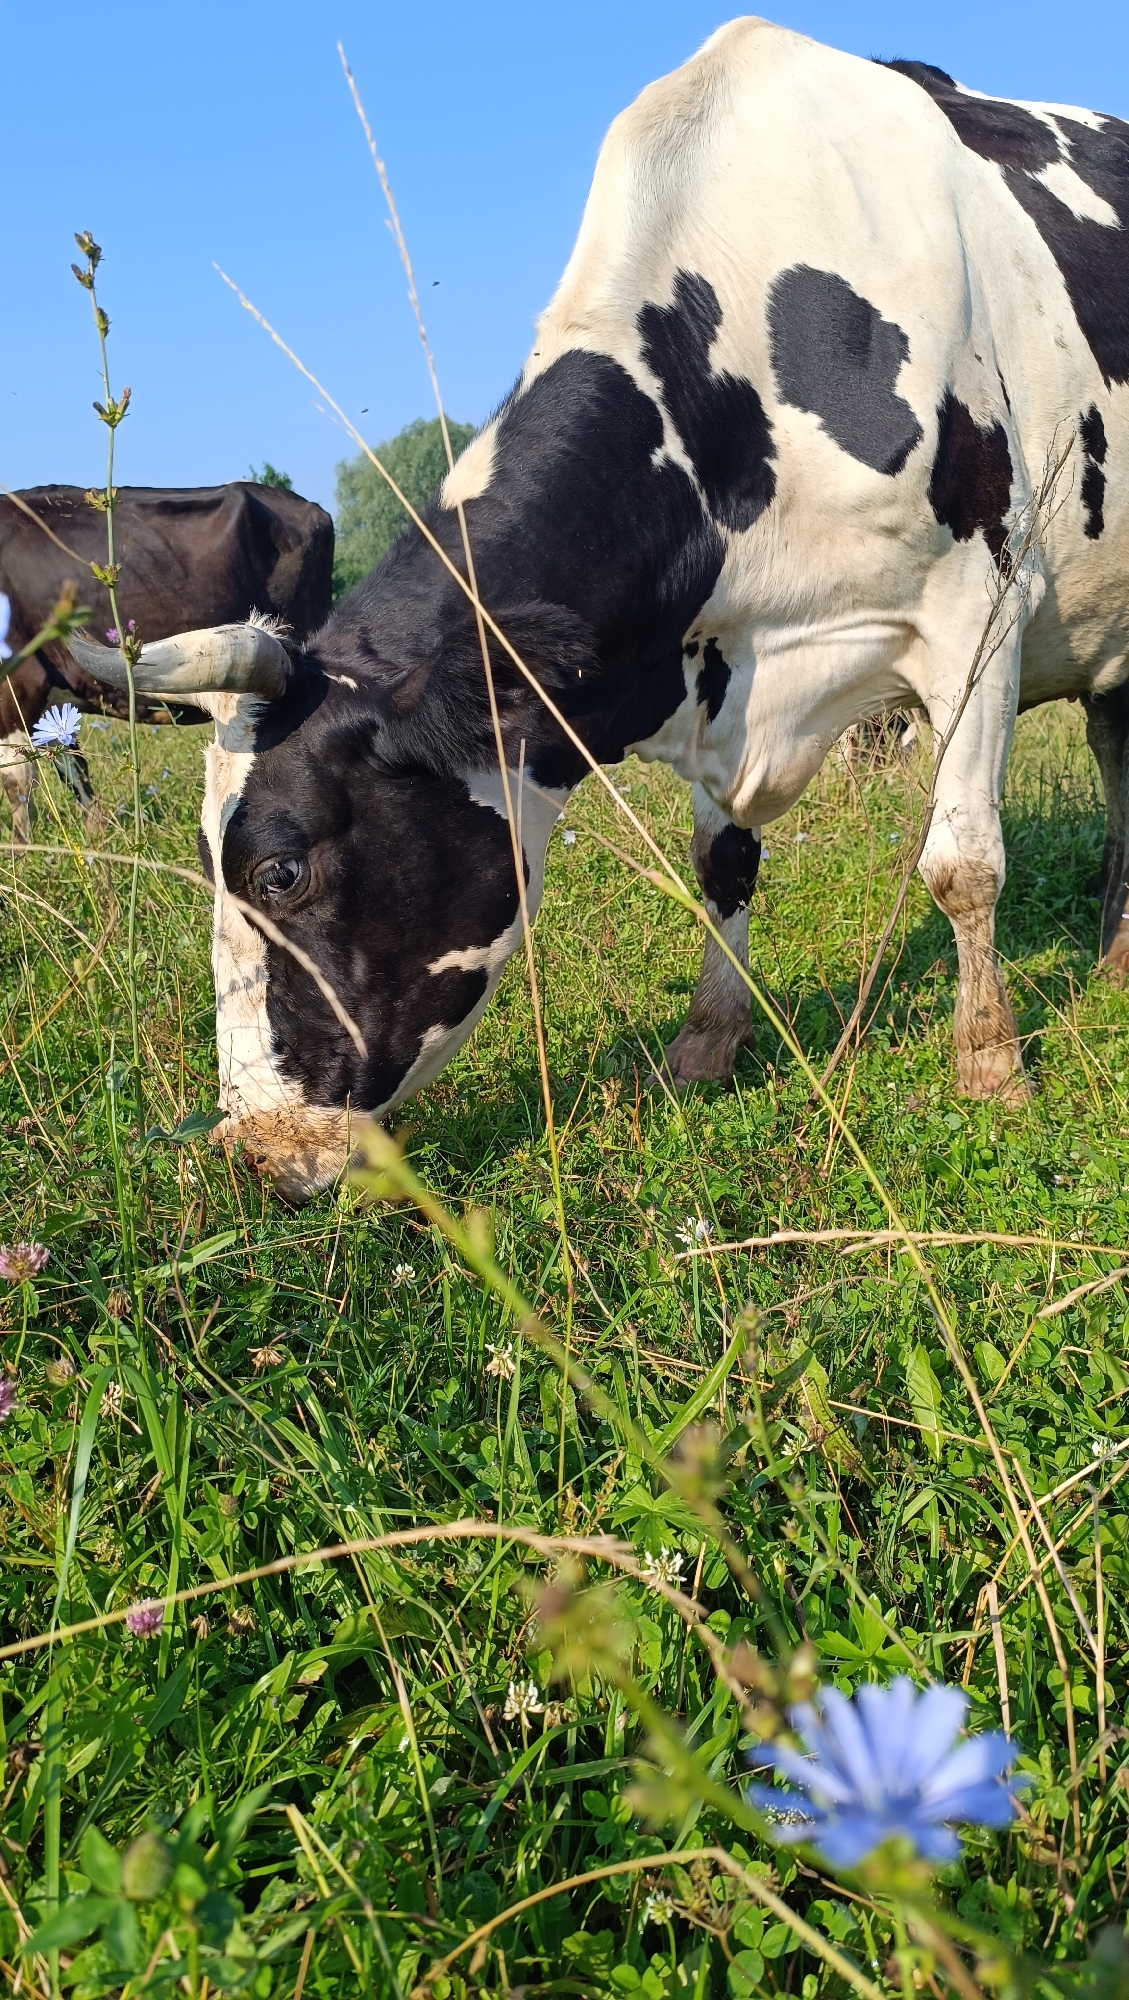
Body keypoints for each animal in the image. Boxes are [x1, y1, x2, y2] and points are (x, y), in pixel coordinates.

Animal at [66, 18, 1128, 1202]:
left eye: (278, 870)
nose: (252, 1148)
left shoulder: (973, 617)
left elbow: (962, 863)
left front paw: (990, 1064)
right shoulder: (712, 667)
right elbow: (723, 864)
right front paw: (706, 1044)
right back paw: (1118, 954)